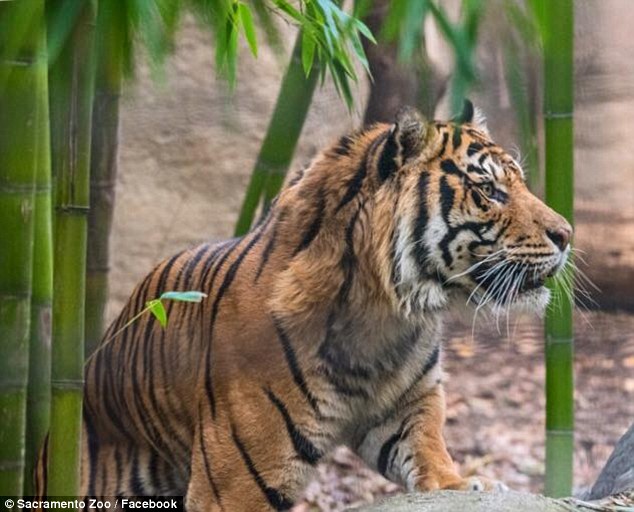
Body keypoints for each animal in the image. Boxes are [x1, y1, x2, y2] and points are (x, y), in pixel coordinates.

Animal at [34, 100, 572, 508]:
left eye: (518, 182)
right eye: (489, 190)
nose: (566, 234)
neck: (385, 315)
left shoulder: (406, 408)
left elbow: (430, 451)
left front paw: (466, 482)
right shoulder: (237, 482)